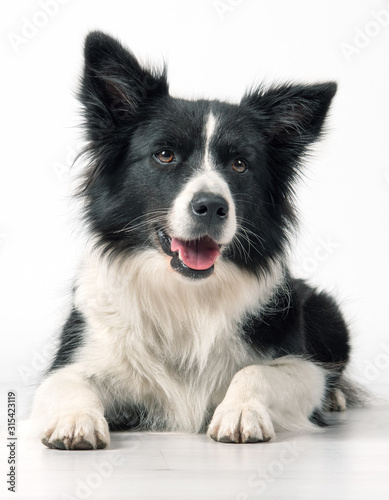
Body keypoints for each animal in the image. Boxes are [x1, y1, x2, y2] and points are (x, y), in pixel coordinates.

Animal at [30, 31, 352, 450]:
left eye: (239, 164)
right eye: (165, 155)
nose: (211, 206)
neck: (185, 293)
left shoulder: (302, 367)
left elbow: (257, 372)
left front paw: (240, 412)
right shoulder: (71, 361)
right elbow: (69, 383)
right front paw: (74, 420)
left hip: (327, 313)